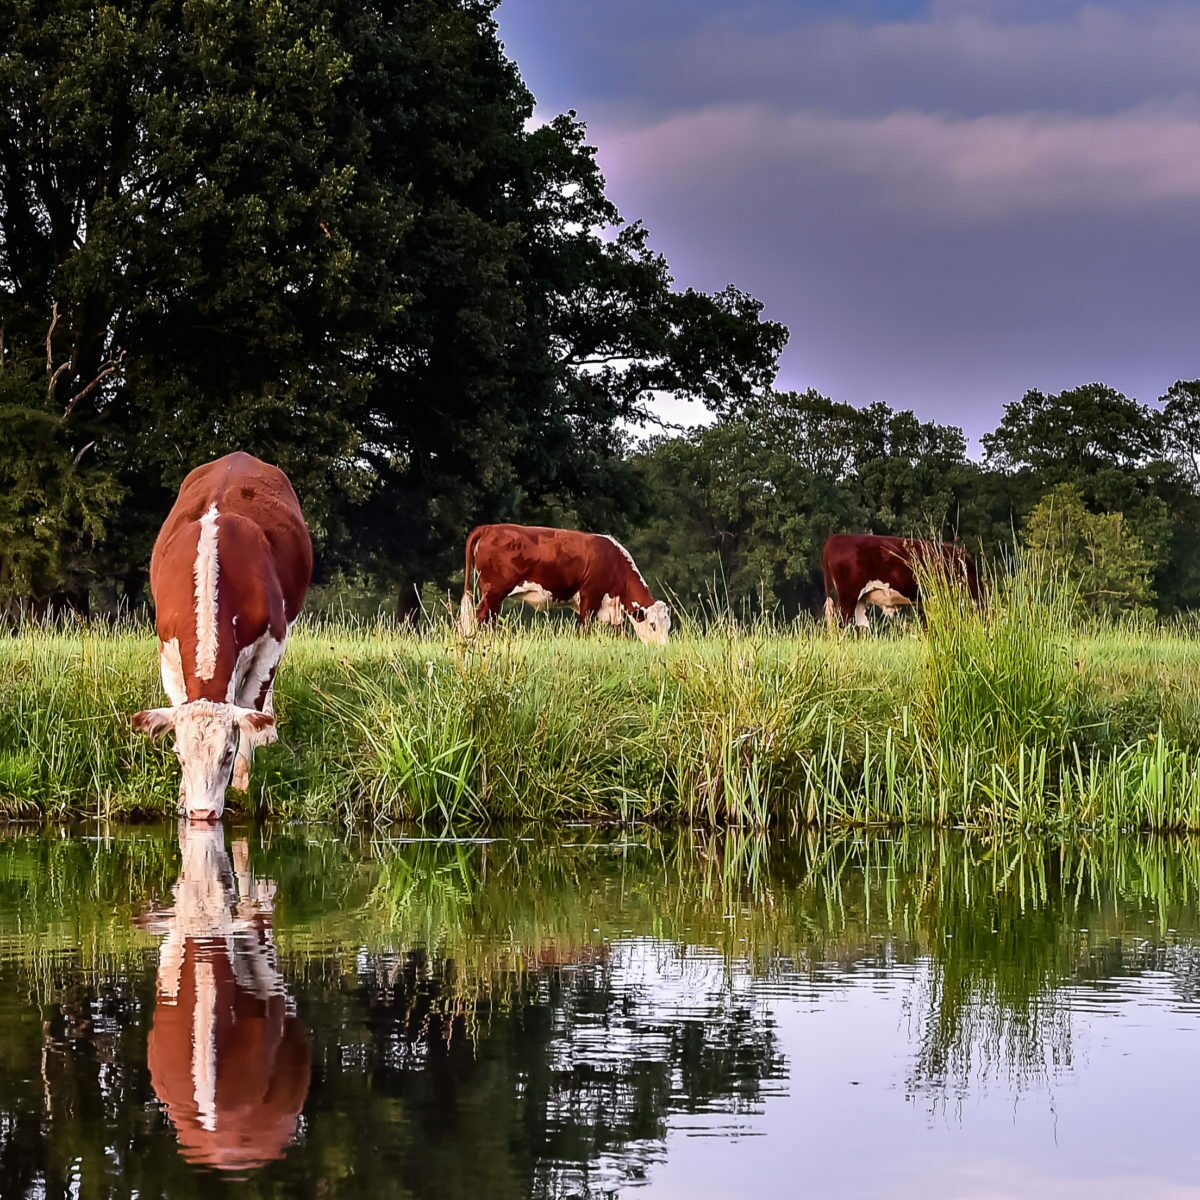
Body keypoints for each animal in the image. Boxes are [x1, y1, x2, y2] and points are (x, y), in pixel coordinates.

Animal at [130, 453, 314, 820]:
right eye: (179, 754)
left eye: (227, 753)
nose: (203, 814)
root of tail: (239, 456)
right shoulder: (167, 649)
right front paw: (183, 797)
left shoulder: (272, 641)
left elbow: (251, 709)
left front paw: (243, 784)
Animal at [456, 520, 672, 643]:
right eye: (653, 624)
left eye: (668, 626)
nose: (662, 648)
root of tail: (488, 528)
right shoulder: (589, 597)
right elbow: (585, 627)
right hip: (494, 590)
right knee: (482, 615)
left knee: (489, 617)